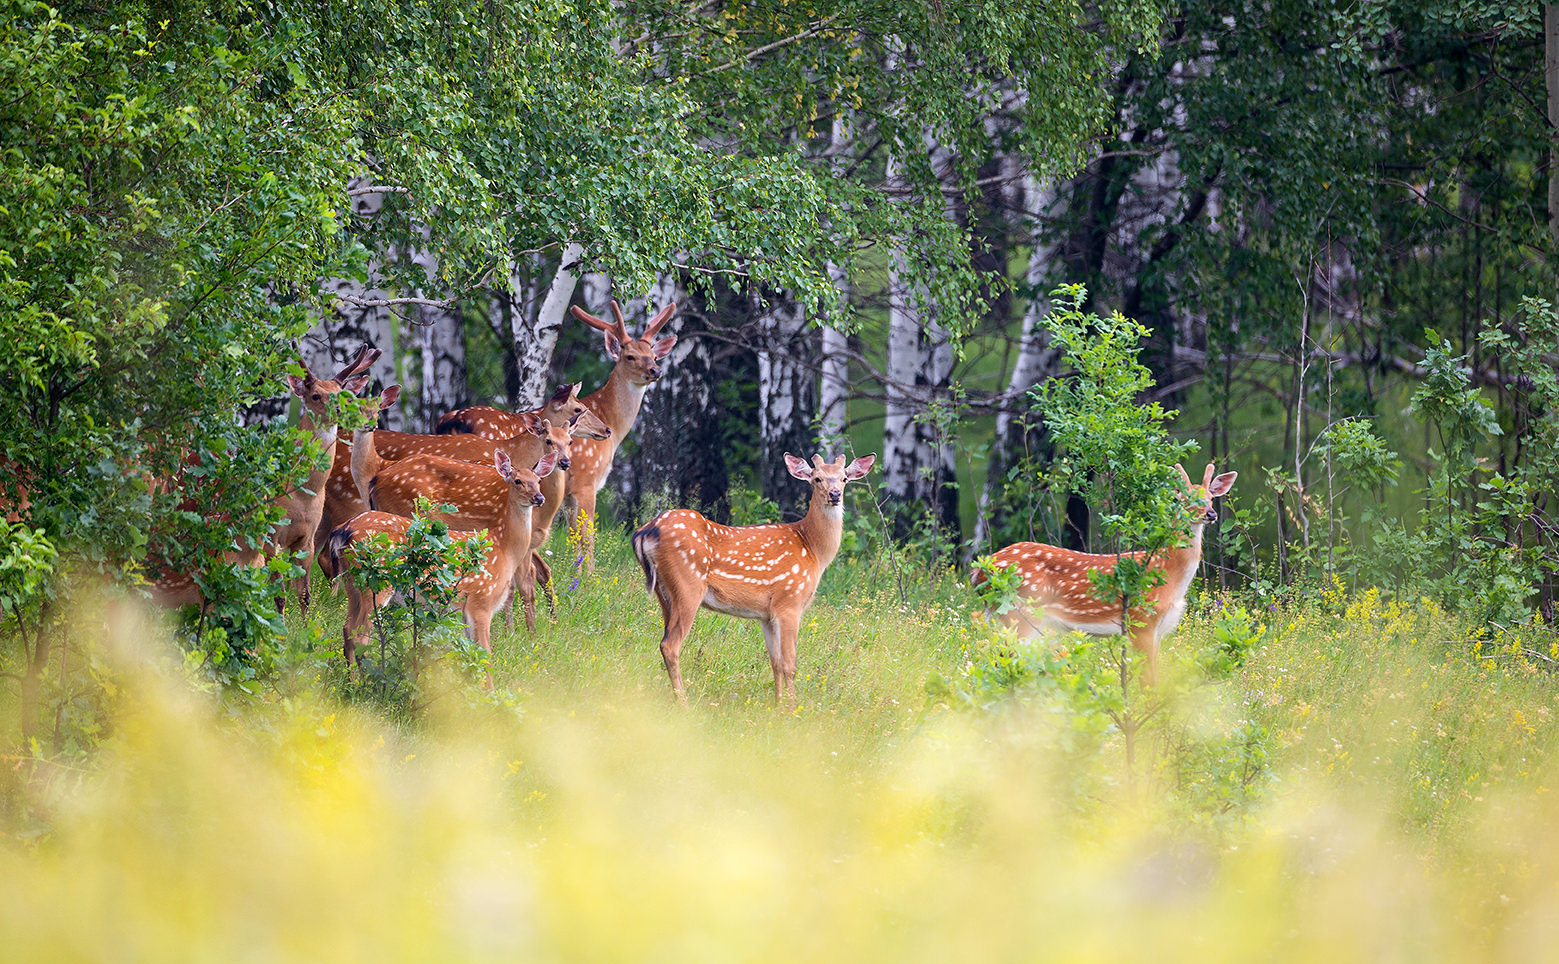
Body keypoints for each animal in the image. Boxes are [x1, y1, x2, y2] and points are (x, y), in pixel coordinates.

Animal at [324, 449, 561, 661]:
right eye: (518, 481)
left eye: (539, 480)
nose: (539, 498)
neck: (504, 547)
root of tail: (341, 531)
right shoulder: (479, 601)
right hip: (377, 583)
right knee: (361, 636)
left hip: (352, 583)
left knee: (347, 630)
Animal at [632, 449, 879, 705]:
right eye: (816, 478)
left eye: (844, 478)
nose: (835, 494)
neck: (813, 549)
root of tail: (644, 532)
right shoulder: (789, 602)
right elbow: (790, 665)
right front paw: (793, 708)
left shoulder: (766, 615)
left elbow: (775, 663)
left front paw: (777, 705)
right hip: (687, 585)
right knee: (670, 645)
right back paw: (684, 703)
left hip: (663, 593)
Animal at [972, 458, 1240, 680]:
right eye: (1183, 499)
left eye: (1211, 497)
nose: (1211, 514)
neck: (1169, 576)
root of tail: (979, 571)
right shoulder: (1140, 621)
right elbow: (1148, 682)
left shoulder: (1159, 631)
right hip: (1019, 613)